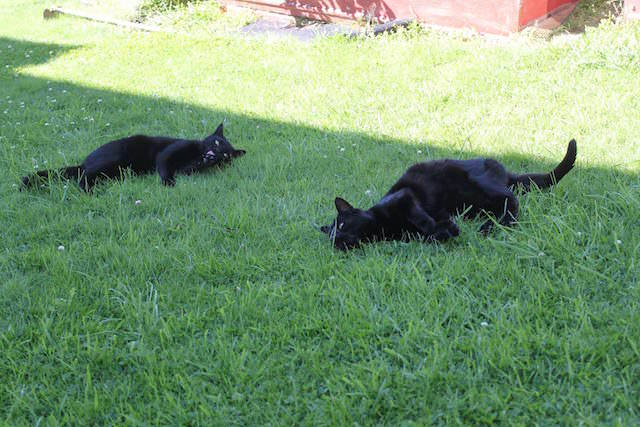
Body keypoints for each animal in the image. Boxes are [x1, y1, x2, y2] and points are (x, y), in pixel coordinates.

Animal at [20, 123, 245, 191]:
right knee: (82, 177)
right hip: (111, 161)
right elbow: (164, 167)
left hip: (115, 171)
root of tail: (84, 161)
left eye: (224, 155)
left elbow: (188, 169)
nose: (213, 155)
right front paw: (168, 184)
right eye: (216, 143)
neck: (196, 155)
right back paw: (89, 192)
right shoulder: (167, 153)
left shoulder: (188, 168)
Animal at [322, 139, 576, 251]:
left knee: (511, 201)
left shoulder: (405, 198)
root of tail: (504, 172)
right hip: (475, 205)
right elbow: (431, 235)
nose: (340, 240)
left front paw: (442, 227)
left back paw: (494, 227)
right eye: (334, 240)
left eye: (342, 225)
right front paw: (446, 229)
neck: (383, 228)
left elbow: (421, 218)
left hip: (480, 187)